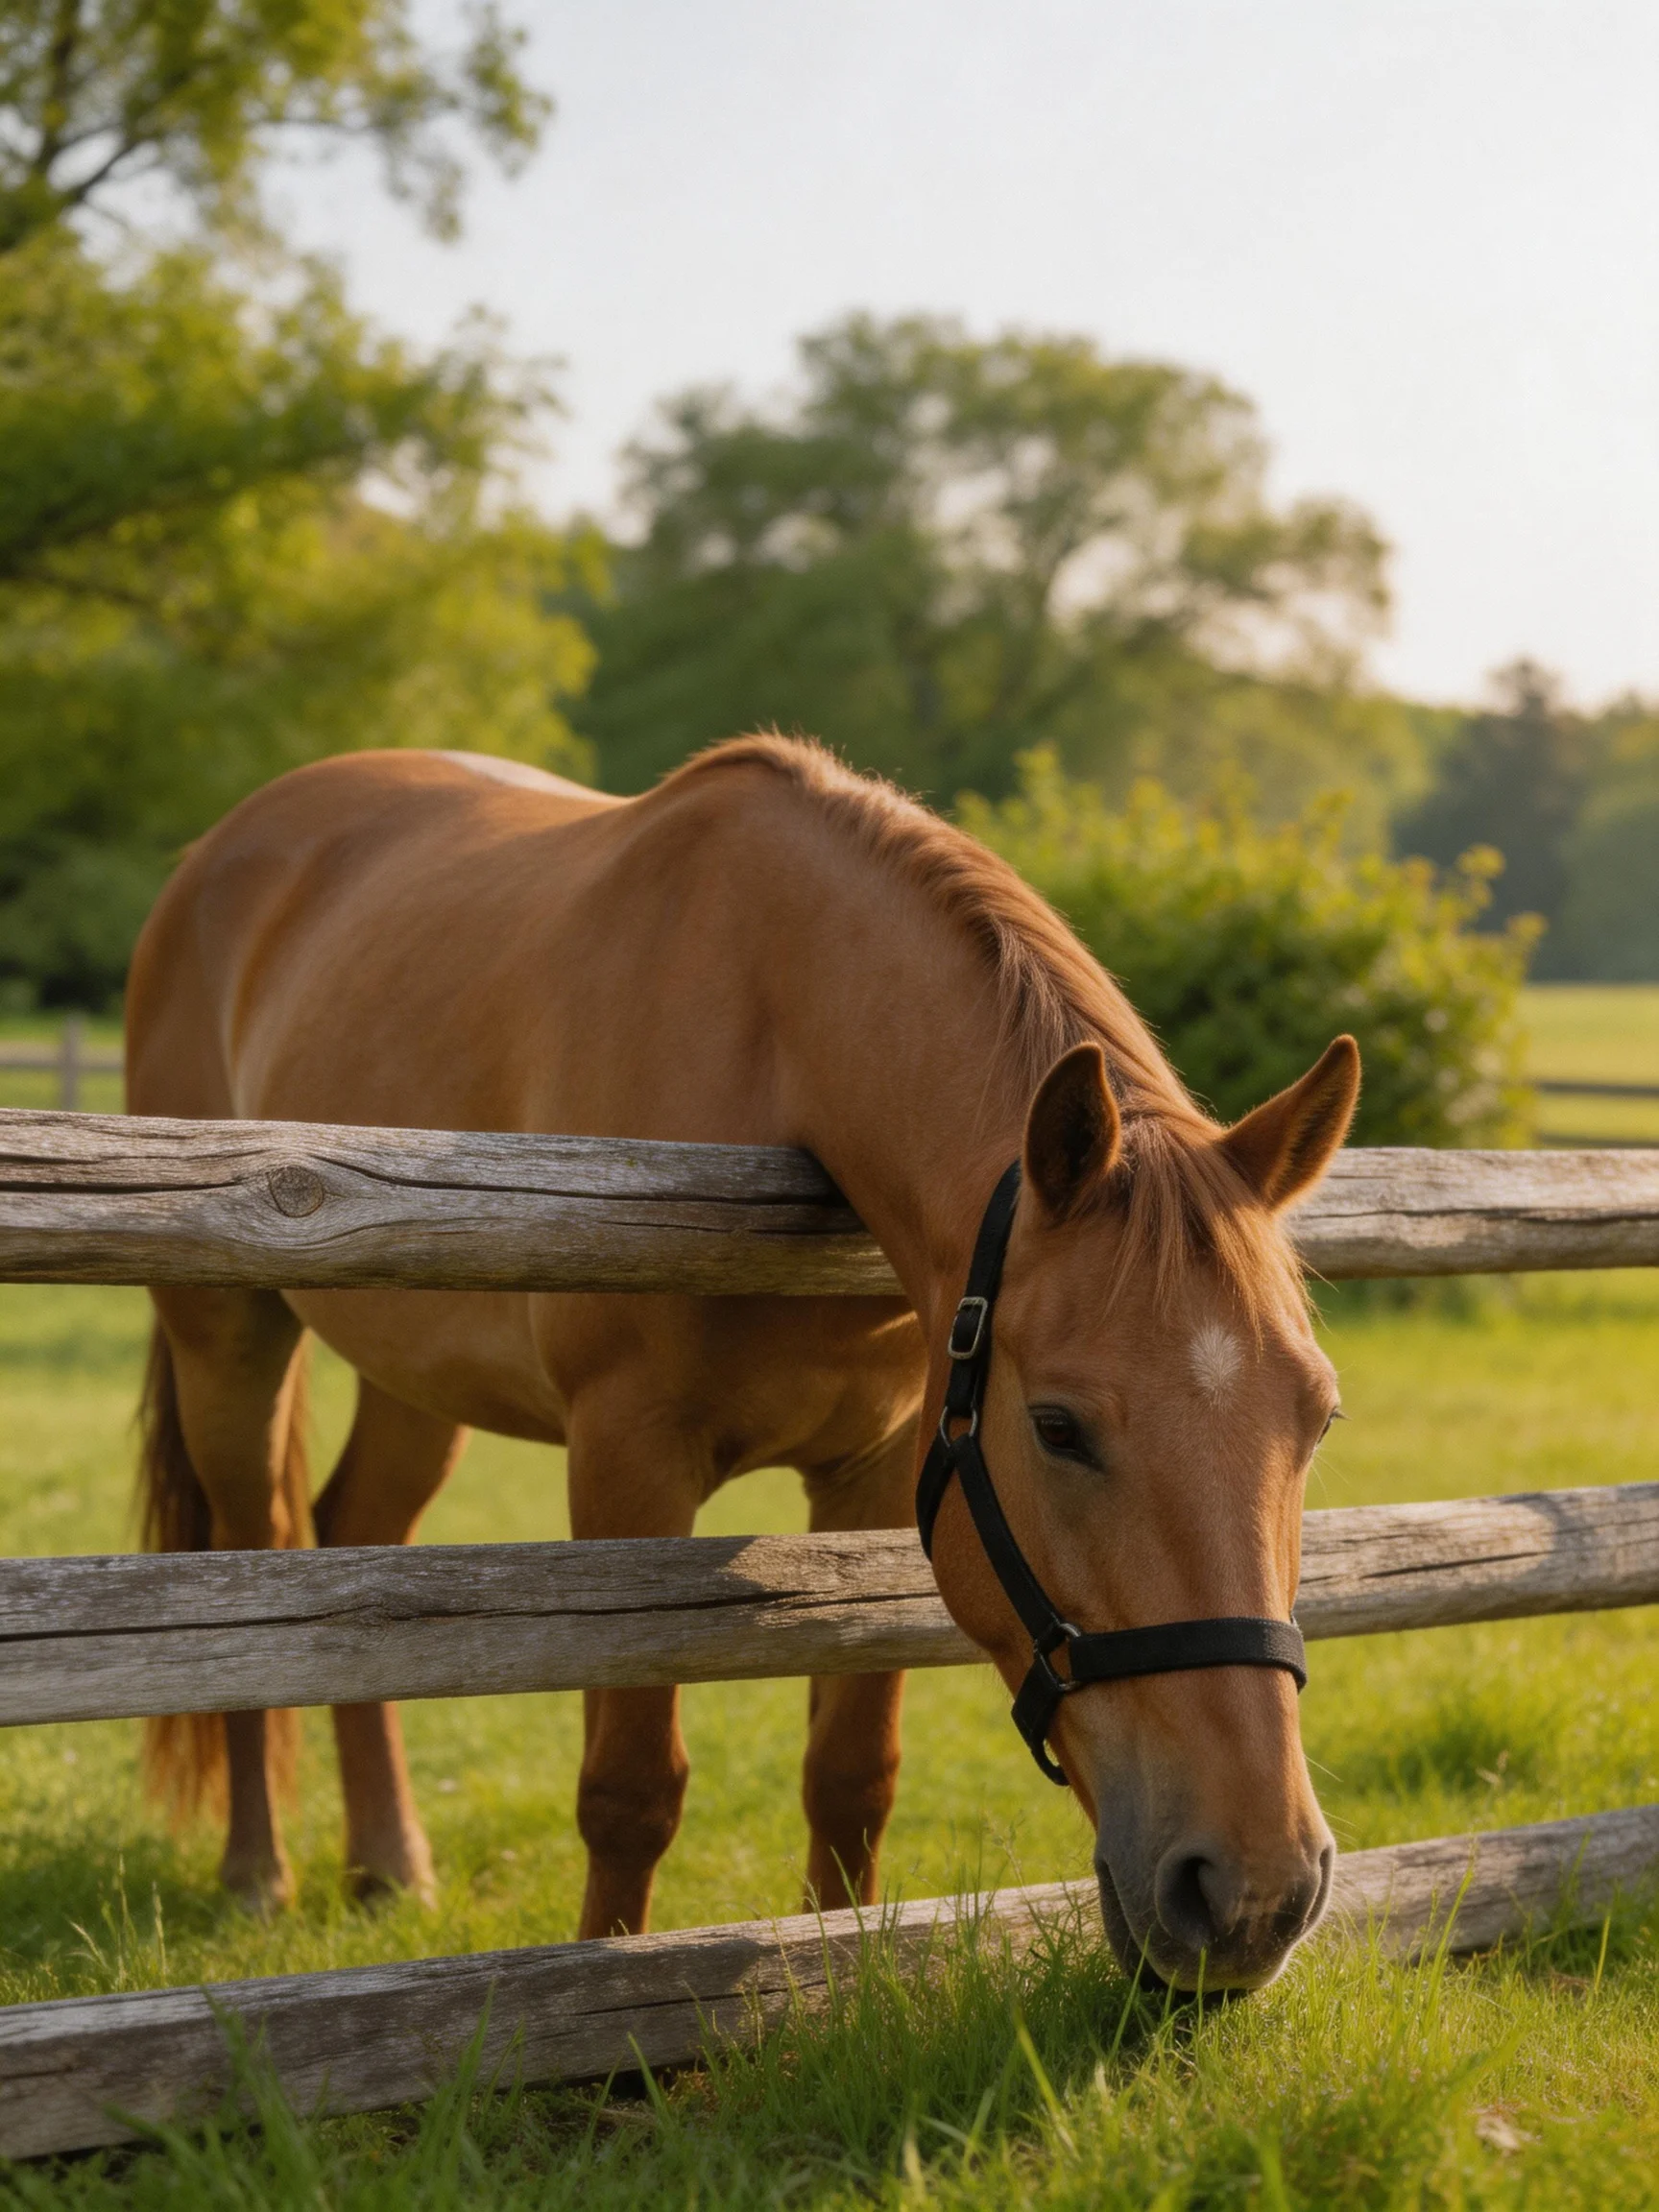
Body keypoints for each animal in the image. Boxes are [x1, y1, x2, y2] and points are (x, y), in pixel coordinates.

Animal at [125, 735, 1357, 1991]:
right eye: (1059, 1427)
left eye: (1316, 1419)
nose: (1256, 1888)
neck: (777, 1040)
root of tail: (225, 849)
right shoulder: (628, 1464)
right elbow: (629, 1791)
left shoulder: (880, 1472)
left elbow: (851, 1777)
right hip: (226, 1336)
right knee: (245, 1576)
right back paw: (258, 1875)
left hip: (415, 1376)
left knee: (354, 1536)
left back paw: (388, 1866)